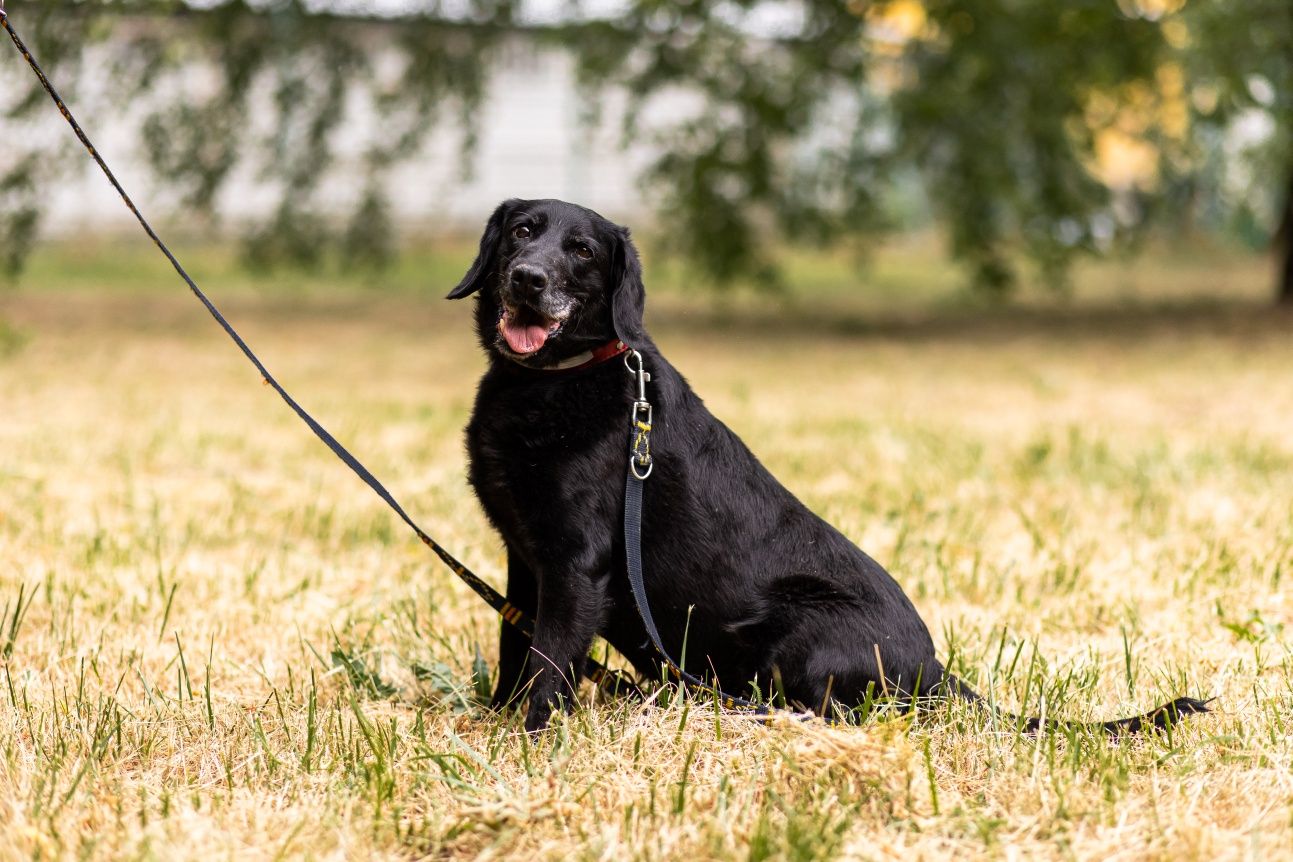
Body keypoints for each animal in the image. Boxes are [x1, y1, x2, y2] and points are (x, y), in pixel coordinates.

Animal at [447, 197, 1210, 734]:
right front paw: (493, 721)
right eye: (521, 231)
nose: (528, 279)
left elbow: (549, 666)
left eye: (580, 250)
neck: (547, 386)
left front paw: (527, 745)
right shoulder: (525, 561)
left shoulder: (576, 566)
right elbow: (515, 650)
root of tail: (934, 668)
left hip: (798, 626)